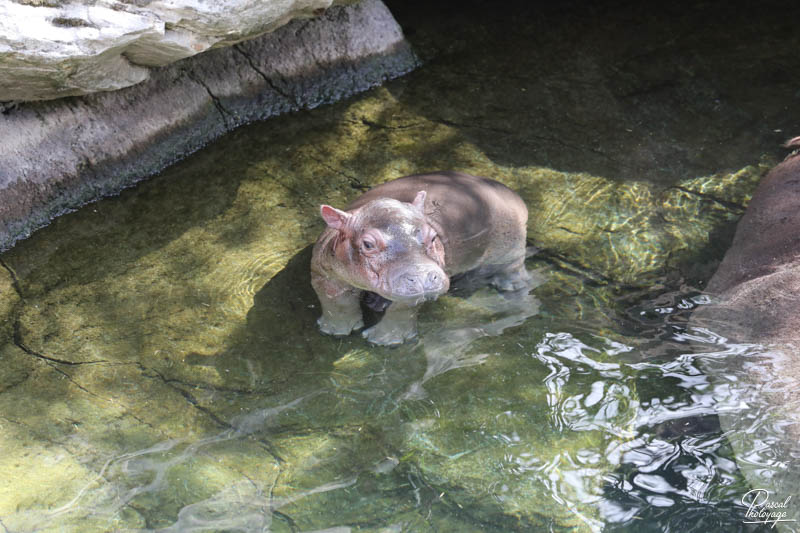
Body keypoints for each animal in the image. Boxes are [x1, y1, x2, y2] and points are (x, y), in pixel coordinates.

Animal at [310, 171, 532, 344]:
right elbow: (336, 300)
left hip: (509, 241)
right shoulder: (323, 272)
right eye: (368, 244)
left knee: (513, 263)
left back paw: (511, 286)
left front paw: (385, 340)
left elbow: (402, 309)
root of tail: (505, 190)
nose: (423, 277)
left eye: (433, 236)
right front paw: (336, 330)